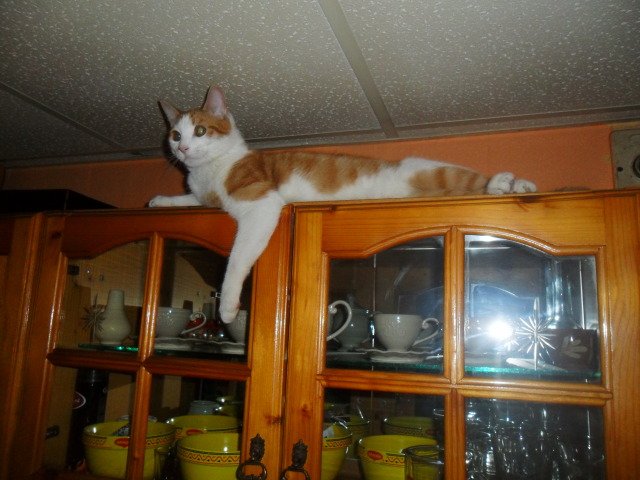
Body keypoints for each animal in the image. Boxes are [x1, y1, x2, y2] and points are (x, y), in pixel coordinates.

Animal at [149, 86, 536, 324]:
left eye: (200, 131)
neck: (212, 170)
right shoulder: (203, 199)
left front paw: (228, 306)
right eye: (176, 134)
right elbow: (187, 200)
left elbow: (237, 259)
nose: (183, 148)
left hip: (430, 171)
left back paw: (510, 184)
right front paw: (159, 200)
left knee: (475, 181)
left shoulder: (262, 205)